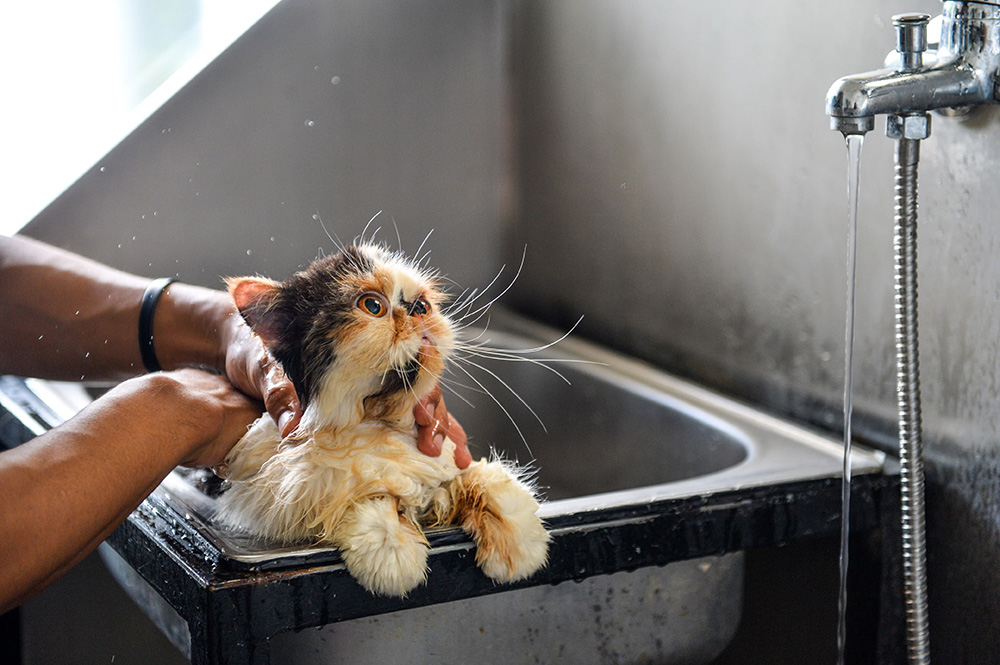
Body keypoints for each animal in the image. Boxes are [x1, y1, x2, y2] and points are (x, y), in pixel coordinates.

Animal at [215, 243, 552, 596]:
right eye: (373, 306)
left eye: (424, 303)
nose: (417, 309)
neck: (382, 422)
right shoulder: (271, 505)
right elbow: (370, 500)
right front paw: (395, 562)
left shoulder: (448, 462)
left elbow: (485, 482)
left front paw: (519, 548)